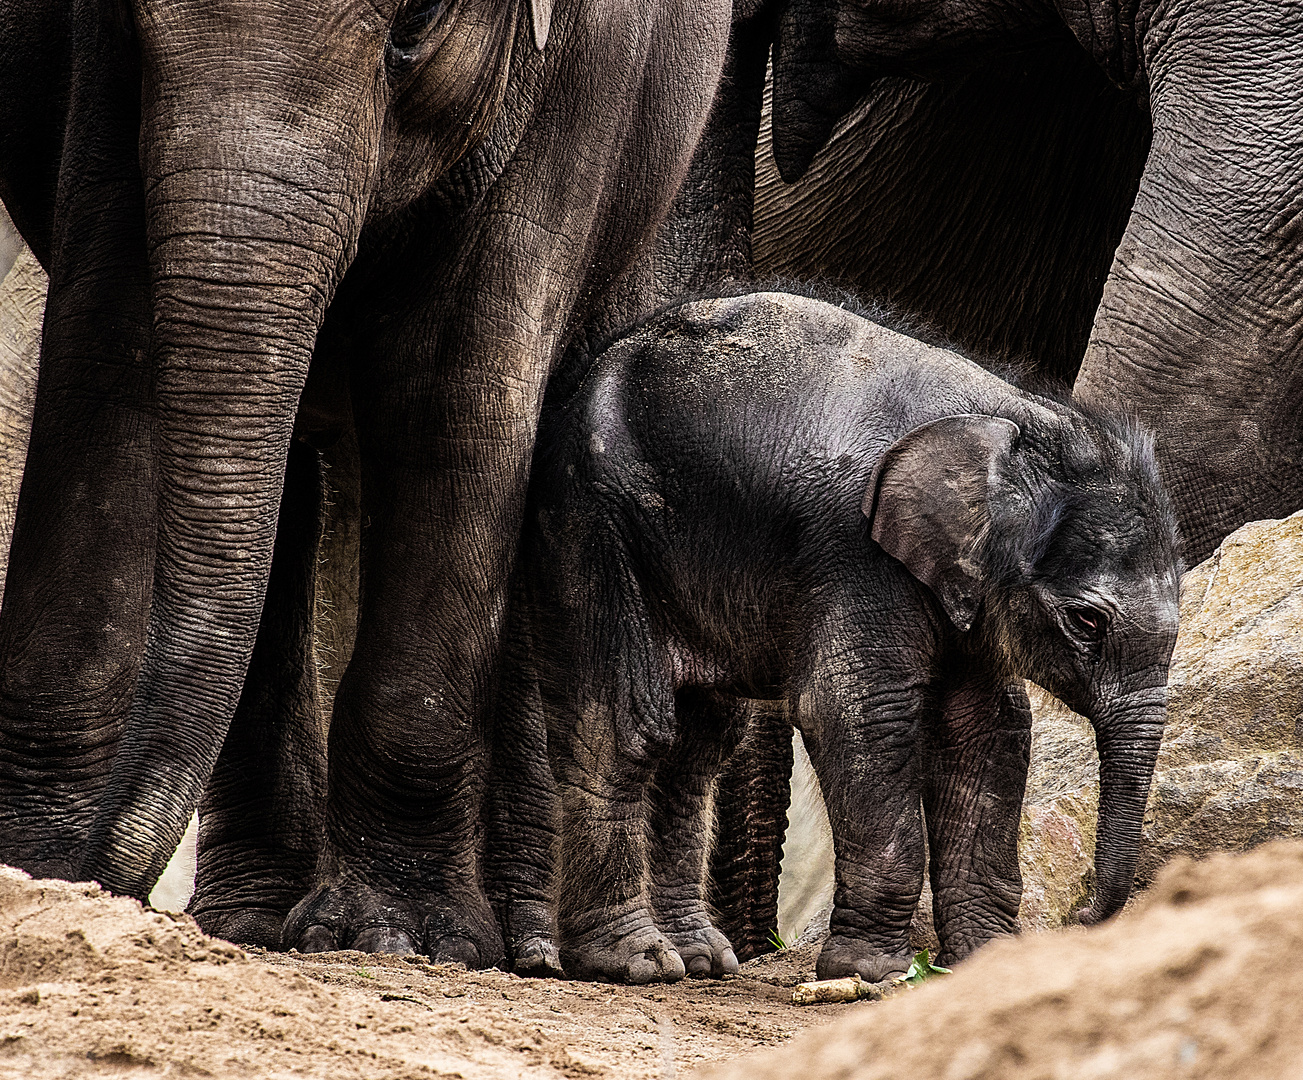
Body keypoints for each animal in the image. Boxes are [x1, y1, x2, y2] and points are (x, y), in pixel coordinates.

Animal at [0, 0, 734, 964]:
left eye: (414, 21)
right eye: (126, 14)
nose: (102, 881)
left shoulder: (585, 92)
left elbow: (457, 386)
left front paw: (402, 939)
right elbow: (104, 340)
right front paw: (33, 869)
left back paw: (529, 946)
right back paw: (254, 919)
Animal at [515, 289, 1183, 984]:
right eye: (1086, 620)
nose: (1084, 913)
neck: (1021, 423)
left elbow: (990, 732)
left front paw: (985, 964)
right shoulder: (855, 550)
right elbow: (858, 713)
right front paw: (869, 972)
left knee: (699, 748)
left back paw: (700, 958)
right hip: (590, 520)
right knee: (626, 728)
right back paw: (635, 962)